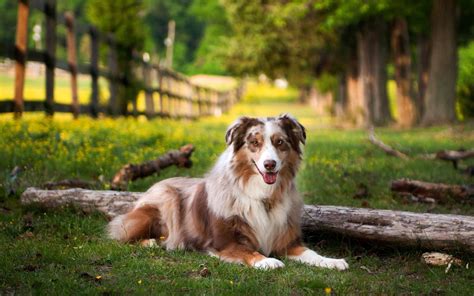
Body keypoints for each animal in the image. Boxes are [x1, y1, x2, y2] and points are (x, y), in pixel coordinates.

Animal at [109, 114, 350, 270]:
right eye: (255, 142)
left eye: (280, 142)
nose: (270, 164)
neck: (263, 196)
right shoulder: (224, 243)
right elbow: (248, 251)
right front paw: (267, 261)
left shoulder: (287, 242)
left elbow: (311, 253)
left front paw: (332, 261)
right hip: (165, 201)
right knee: (120, 234)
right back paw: (152, 242)